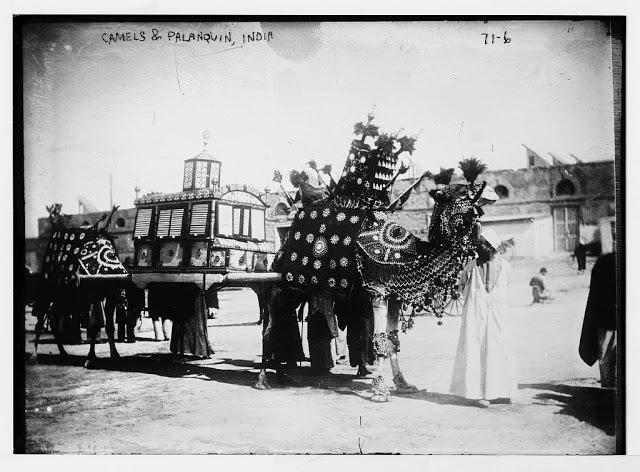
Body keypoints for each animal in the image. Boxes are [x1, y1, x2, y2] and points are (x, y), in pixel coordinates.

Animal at [258, 112, 498, 400]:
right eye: (462, 193)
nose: (490, 250)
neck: (409, 254)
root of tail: (278, 255)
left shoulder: (395, 296)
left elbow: (393, 340)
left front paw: (403, 383)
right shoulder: (378, 292)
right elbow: (380, 339)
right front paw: (380, 390)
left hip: (297, 290)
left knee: (280, 325)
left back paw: (282, 374)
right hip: (280, 287)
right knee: (269, 329)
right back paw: (263, 379)